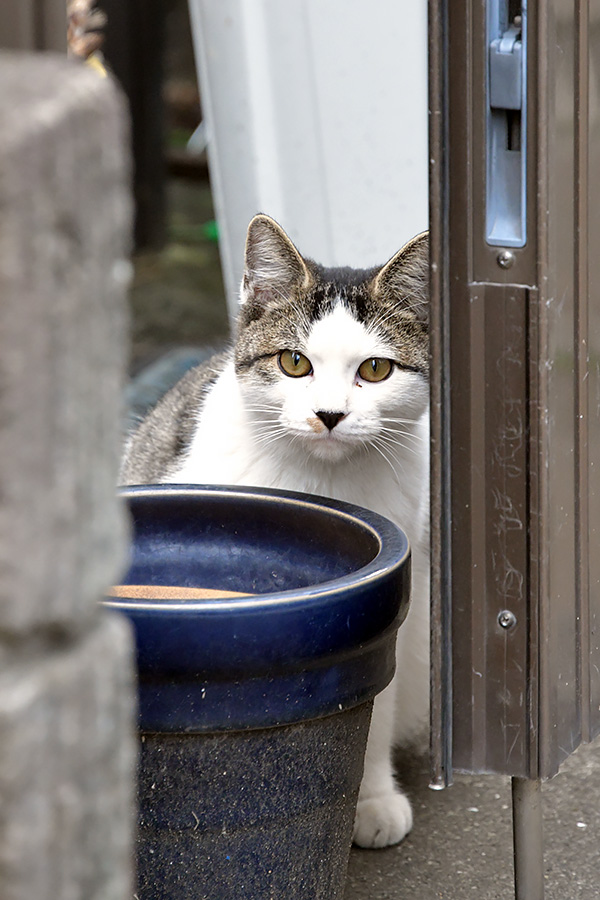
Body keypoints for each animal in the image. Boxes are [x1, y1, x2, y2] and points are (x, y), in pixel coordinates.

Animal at [120, 214, 432, 848]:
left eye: (376, 369)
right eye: (294, 363)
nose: (330, 415)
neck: (326, 476)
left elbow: (377, 700)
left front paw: (372, 797)